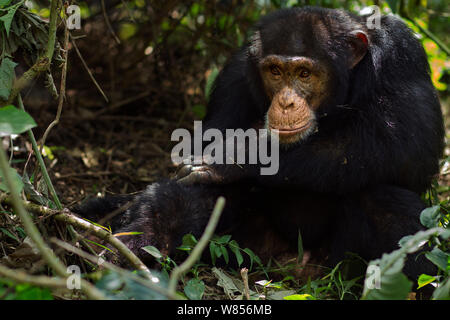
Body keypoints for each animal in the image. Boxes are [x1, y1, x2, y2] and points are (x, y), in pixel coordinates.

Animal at [74, 6, 442, 278]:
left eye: (305, 74)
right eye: (275, 72)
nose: (286, 102)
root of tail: (294, 267)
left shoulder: (401, 53)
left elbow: (409, 142)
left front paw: (236, 154)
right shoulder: (235, 75)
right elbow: (203, 162)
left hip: (336, 262)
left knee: (387, 202)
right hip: (246, 251)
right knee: (180, 195)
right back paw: (124, 262)